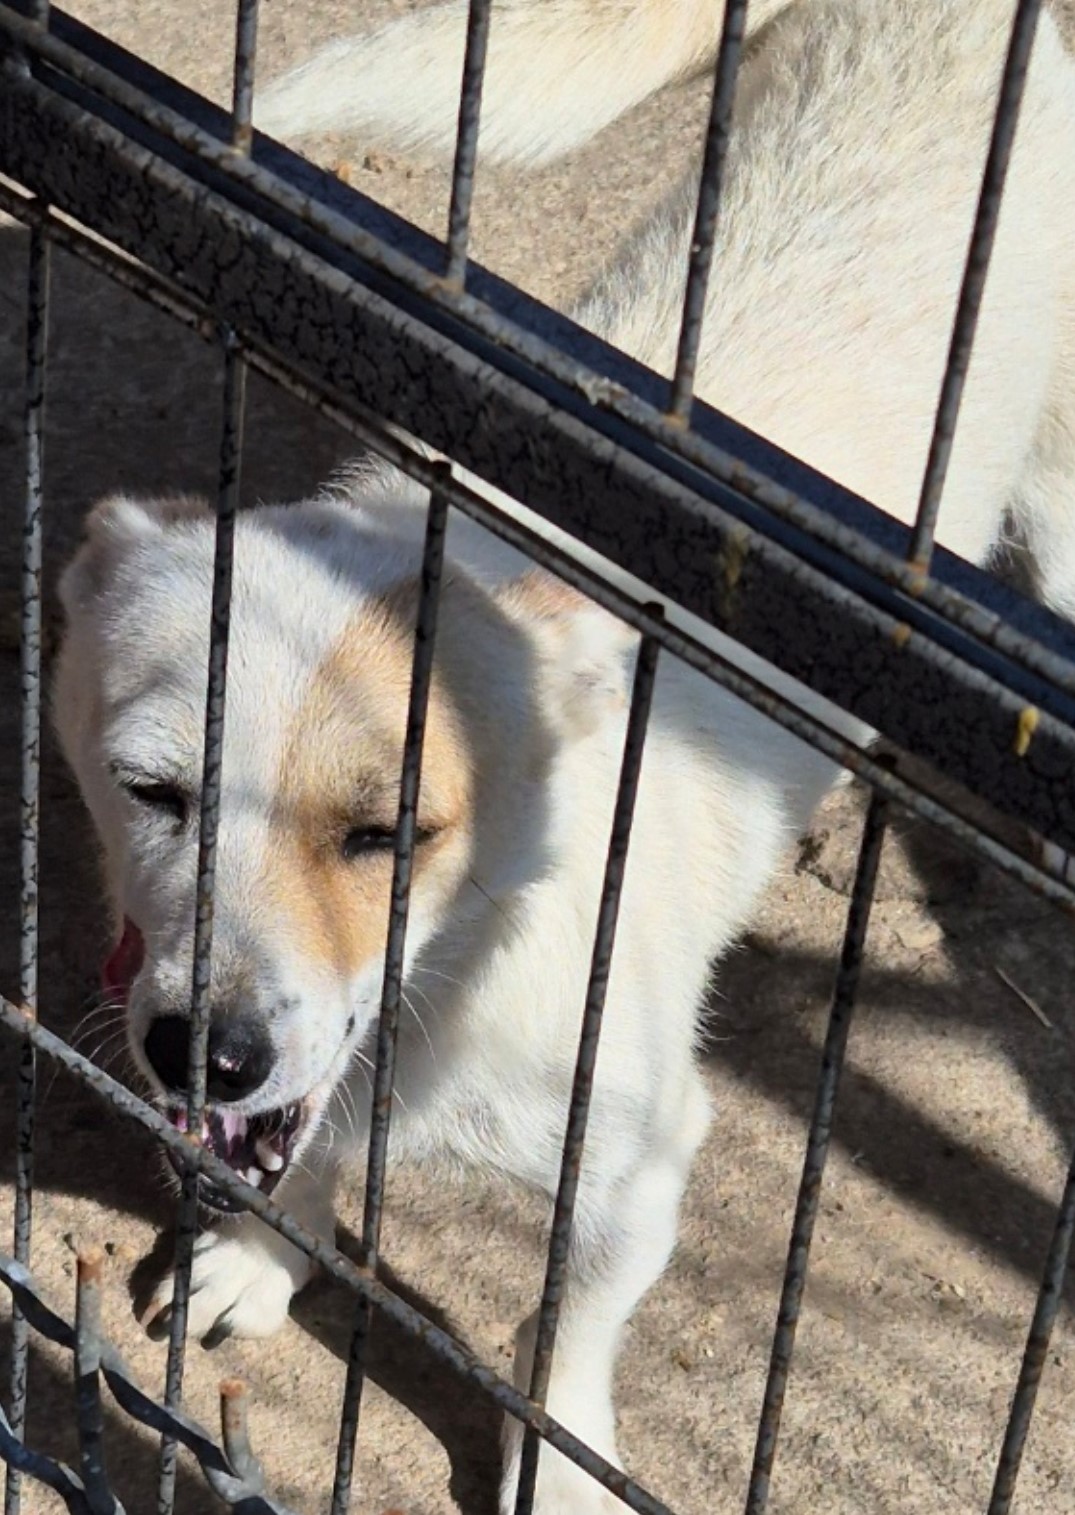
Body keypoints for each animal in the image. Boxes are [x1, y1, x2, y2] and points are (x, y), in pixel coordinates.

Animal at [54, 0, 1075, 1508]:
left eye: (389, 832)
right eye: (150, 790)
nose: (203, 1056)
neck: (462, 966)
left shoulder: (635, 1175)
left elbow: (564, 1334)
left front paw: (564, 1463)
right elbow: (298, 1153)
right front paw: (258, 1253)